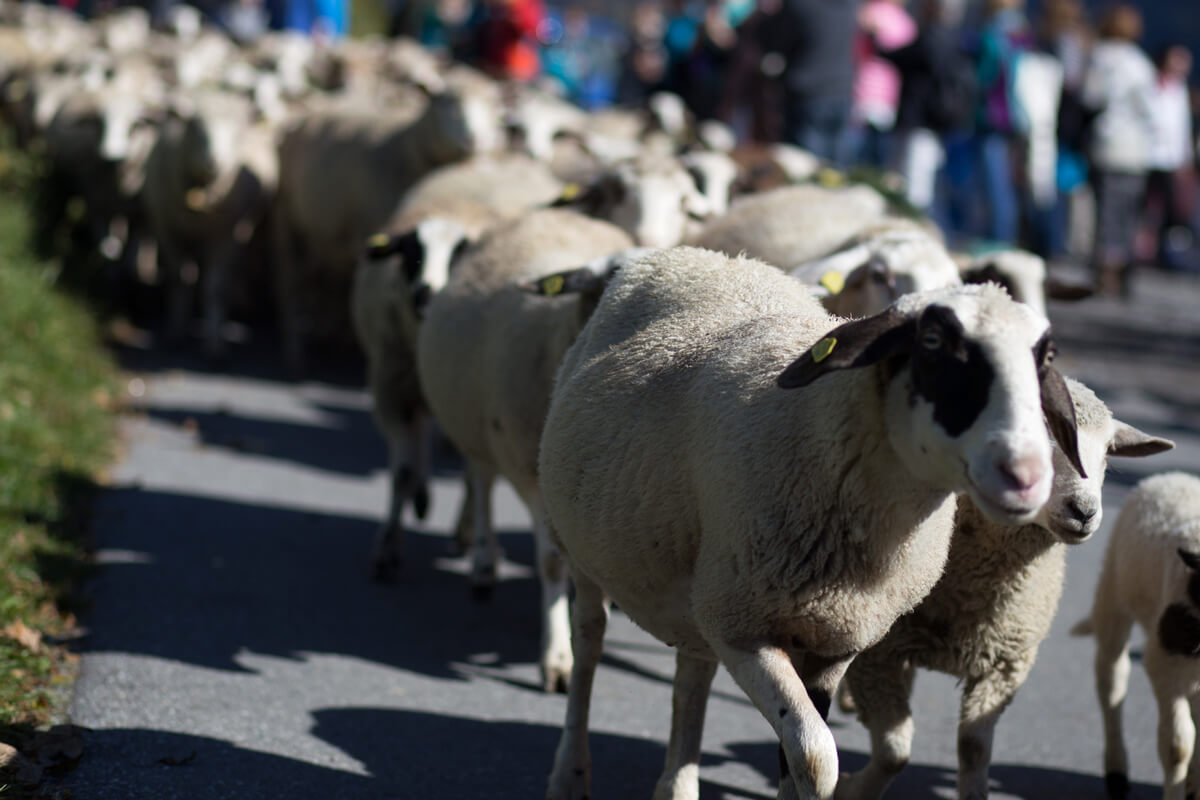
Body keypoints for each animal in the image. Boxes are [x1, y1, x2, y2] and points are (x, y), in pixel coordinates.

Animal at [415, 208, 638, 695]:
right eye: (607, 288)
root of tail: (550, 211)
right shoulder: (532, 475)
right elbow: (551, 565)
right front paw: (556, 658)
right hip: (476, 431)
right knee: (481, 483)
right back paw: (483, 565)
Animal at [537, 250, 1089, 800]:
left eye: (1045, 357)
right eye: (932, 342)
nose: (1026, 474)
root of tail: (693, 256)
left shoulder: (836, 640)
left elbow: (791, 756)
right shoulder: (745, 631)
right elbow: (814, 755)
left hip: (702, 583)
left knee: (691, 675)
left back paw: (677, 785)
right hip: (594, 556)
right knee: (590, 644)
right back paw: (569, 772)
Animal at [835, 381, 1171, 800]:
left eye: (1109, 450)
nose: (1084, 511)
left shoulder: (1005, 664)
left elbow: (974, 749)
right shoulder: (878, 653)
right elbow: (894, 751)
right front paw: (849, 788)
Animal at [1075, 472, 1200, 796]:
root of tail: (1170, 477)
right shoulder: (1164, 664)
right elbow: (1176, 747)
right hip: (1112, 593)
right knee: (1111, 682)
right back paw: (1116, 773)